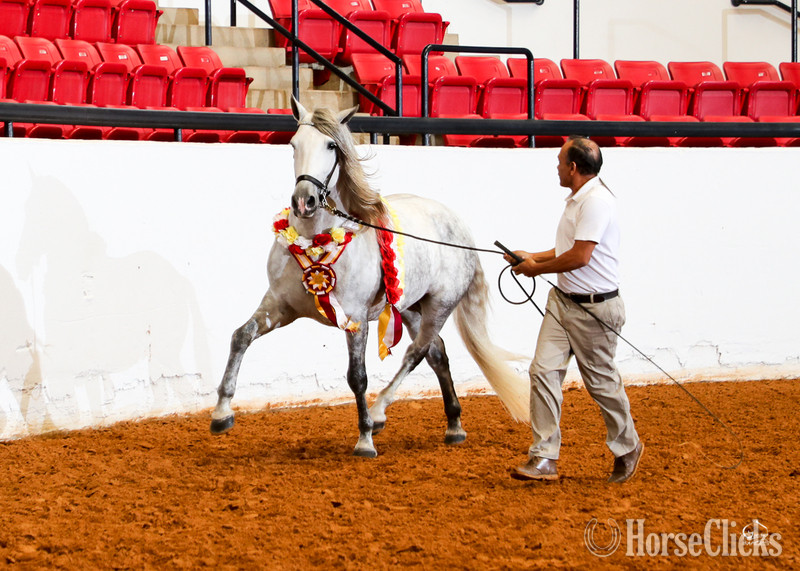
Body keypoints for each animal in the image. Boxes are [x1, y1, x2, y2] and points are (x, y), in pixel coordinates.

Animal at [210, 97, 529, 457]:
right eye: (293, 144)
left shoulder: (356, 319)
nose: (304, 201)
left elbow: (357, 376)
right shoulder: (280, 306)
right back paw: (454, 425)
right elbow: (241, 336)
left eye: (331, 145)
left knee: (416, 352)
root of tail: (459, 228)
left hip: (440, 306)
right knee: (437, 354)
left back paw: (378, 414)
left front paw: (364, 440)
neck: (315, 239)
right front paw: (221, 414)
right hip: (409, 308)